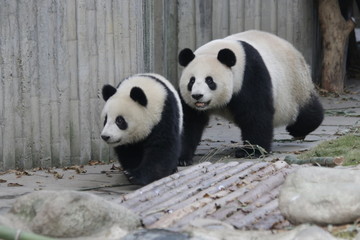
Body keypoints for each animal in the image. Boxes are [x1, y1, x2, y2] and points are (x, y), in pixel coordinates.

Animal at [179, 30, 324, 165]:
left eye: (209, 81)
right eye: (191, 81)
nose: (197, 96)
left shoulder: (249, 75)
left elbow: (256, 115)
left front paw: (251, 151)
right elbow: (189, 122)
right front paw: (182, 158)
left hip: (294, 85)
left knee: (307, 110)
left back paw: (297, 129)